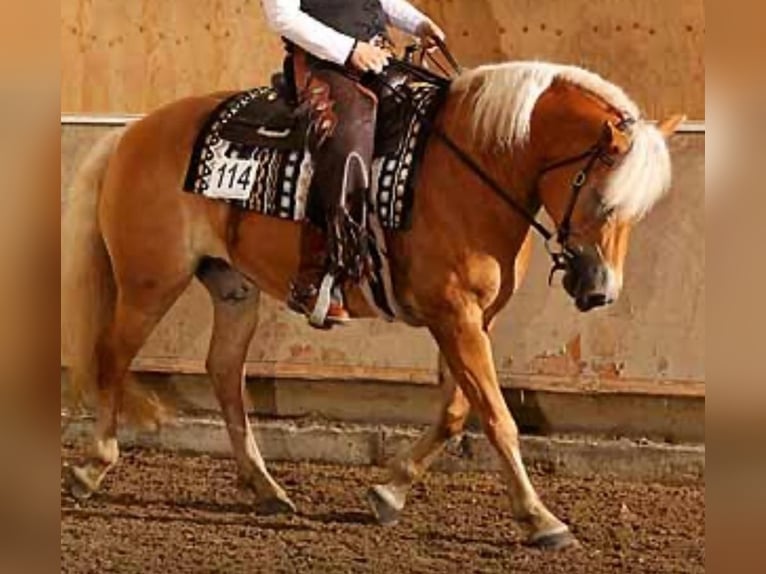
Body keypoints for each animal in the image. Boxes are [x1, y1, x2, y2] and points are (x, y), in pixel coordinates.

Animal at [61, 60, 684, 552]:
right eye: (601, 198)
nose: (600, 290)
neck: (472, 168)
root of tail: (132, 133)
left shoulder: (470, 319)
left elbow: (457, 410)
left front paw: (389, 490)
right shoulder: (456, 316)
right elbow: (497, 417)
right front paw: (540, 519)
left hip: (233, 288)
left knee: (224, 374)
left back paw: (266, 488)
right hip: (149, 283)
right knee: (111, 356)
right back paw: (92, 468)